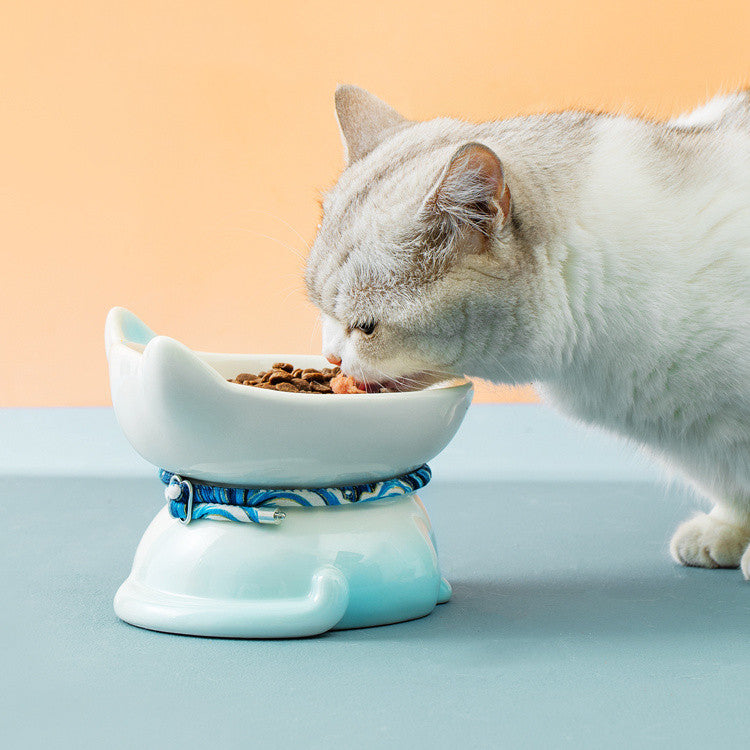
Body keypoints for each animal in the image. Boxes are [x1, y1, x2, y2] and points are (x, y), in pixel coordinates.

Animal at [306, 83, 750, 580]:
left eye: (365, 327)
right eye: (321, 309)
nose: (331, 357)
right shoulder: (698, 437)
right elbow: (733, 489)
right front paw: (727, 531)